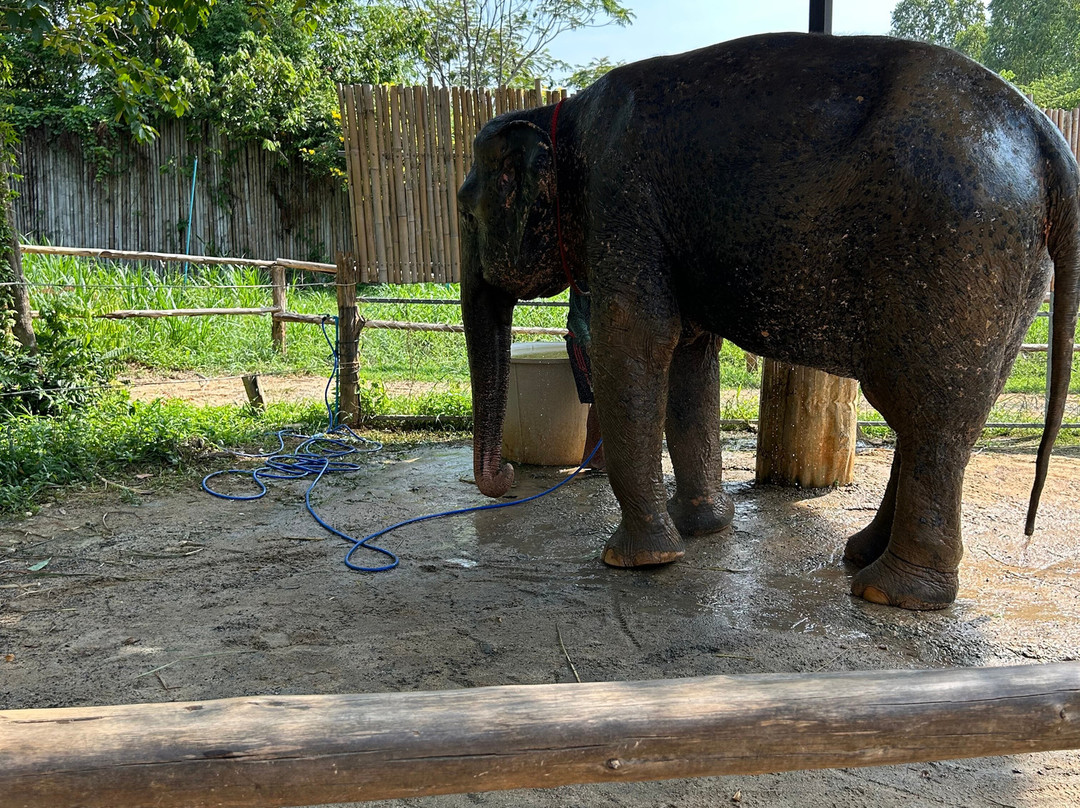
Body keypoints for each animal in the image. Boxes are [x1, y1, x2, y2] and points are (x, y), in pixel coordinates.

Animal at [458, 33, 1080, 611]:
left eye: (465, 212)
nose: (504, 479)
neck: (561, 115)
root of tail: (1047, 135)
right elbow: (689, 355)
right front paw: (702, 528)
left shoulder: (621, 201)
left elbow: (636, 346)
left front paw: (635, 561)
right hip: (1017, 274)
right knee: (932, 416)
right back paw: (861, 554)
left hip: (953, 249)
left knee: (929, 416)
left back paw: (888, 593)